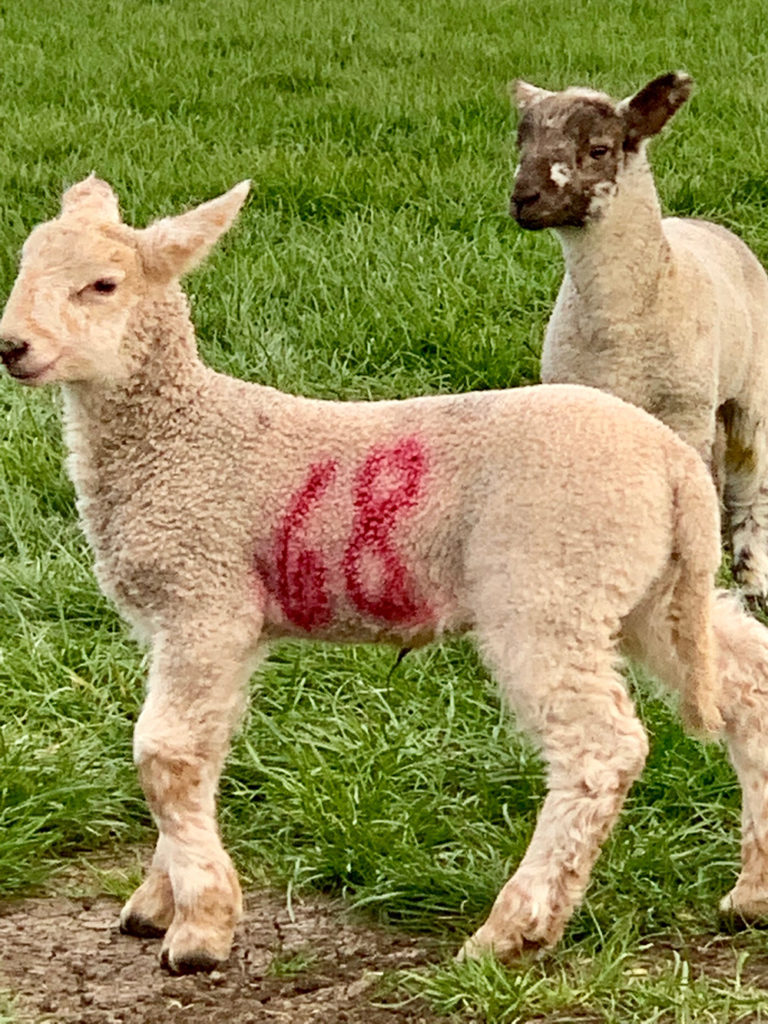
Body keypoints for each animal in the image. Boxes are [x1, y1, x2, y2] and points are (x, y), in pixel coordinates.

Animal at [1, 178, 768, 974]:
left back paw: (512, 928)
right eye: (23, 266)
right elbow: (201, 751)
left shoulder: (204, 597)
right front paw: (162, 899)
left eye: (103, 285)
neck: (179, 436)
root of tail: (674, 466)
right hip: (645, 588)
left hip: (548, 584)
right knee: (746, 682)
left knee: (600, 749)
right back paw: (751, 893)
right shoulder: (189, 621)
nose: (12, 348)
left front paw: (201, 929)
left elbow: (165, 755)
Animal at [512, 74, 768, 598]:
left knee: (749, 481)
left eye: (599, 149)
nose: (522, 197)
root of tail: (707, 225)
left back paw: (752, 576)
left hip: (748, 393)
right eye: (520, 143)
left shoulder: (684, 411)